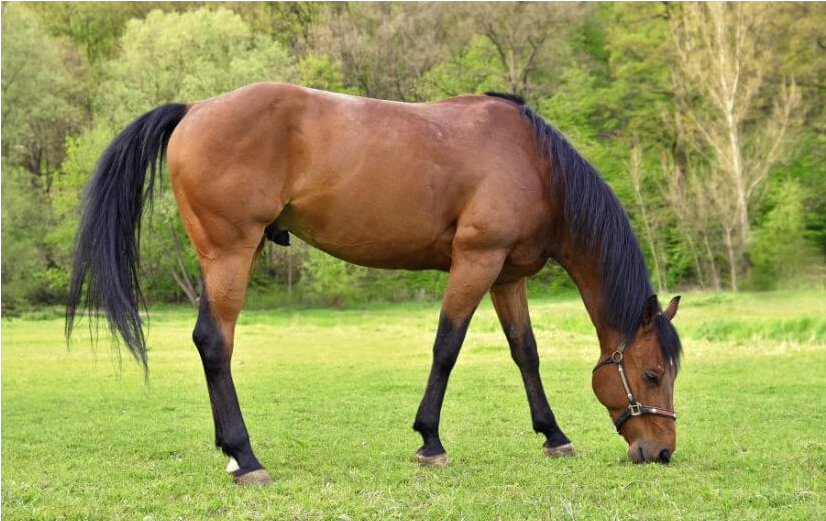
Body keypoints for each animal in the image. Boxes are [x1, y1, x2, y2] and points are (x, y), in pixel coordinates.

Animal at [66, 82, 683, 485]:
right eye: (652, 374)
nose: (660, 451)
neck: (533, 162)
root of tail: (196, 108)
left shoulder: (507, 276)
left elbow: (524, 352)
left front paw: (553, 435)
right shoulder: (475, 261)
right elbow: (446, 347)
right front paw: (430, 441)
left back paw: (233, 453)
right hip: (231, 254)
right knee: (215, 343)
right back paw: (247, 457)